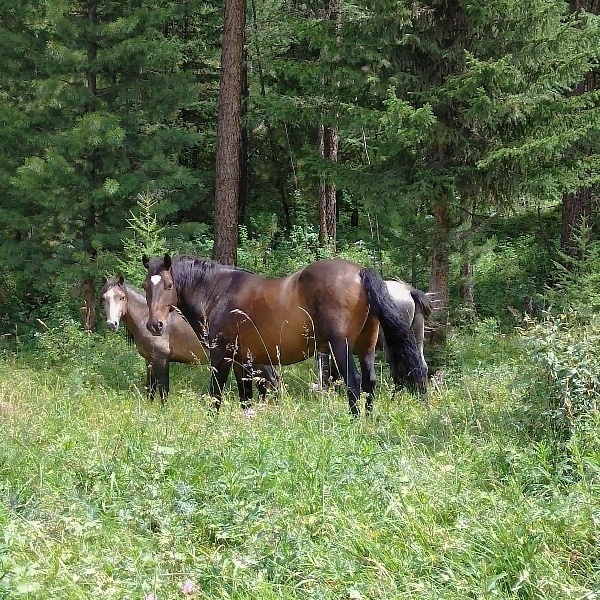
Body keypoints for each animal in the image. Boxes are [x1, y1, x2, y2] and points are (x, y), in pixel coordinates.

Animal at [99, 278, 278, 406]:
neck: (146, 318)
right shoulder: (149, 361)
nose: (111, 324)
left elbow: (163, 391)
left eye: (122, 297)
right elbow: (150, 389)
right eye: (104, 298)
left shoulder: (161, 359)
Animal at [143, 254, 428, 418]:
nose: (155, 325)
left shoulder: (221, 356)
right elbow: (246, 398)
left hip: (341, 347)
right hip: (366, 347)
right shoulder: (242, 362)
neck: (218, 293)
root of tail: (359, 271)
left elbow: (216, 395)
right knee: (370, 382)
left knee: (355, 382)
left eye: (168, 285)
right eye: (146, 286)